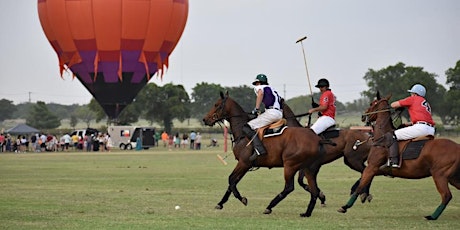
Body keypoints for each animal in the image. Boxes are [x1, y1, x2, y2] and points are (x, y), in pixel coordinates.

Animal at [338, 92, 460, 220]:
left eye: (372, 103)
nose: (363, 116)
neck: (381, 137)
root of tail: (457, 147)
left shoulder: (372, 166)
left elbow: (362, 182)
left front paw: (346, 206)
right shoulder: (380, 168)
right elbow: (364, 179)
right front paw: (364, 195)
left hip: (439, 175)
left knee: (446, 195)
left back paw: (432, 216)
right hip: (453, 177)